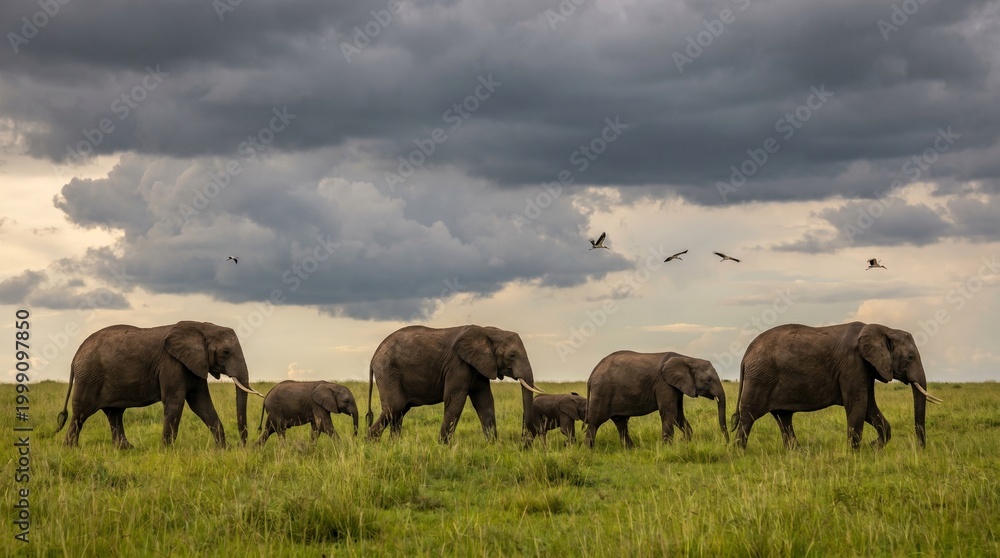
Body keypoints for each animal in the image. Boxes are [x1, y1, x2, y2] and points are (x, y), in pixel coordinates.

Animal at [54, 321, 263, 449]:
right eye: (226, 352)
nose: (242, 445)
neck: (201, 327)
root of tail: (76, 353)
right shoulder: (172, 364)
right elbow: (175, 402)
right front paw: (167, 450)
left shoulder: (194, 364)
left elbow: (201, 403)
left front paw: (222, 449)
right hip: (89, 377)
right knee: (81, 413)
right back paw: (70, 448)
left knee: (114, 413)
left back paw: (126, 449)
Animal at [366, 324, 544, 444]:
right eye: (512, 355)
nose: (524, 441)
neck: (489, 331)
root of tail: (374, 356)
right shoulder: (458, 365)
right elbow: (455, 400)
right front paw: (443, 446)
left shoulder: (480, 366)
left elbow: (485, 401)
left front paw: (492, 445)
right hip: (388, 371)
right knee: (395, 406)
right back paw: (370, 443)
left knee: (400, 410)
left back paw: (394, 445)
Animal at [585, 351, 728, 448]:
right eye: (708, 380)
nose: (727, 443)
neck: (687, 359)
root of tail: (593, 373)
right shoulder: (664, 384)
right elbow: (670, 413)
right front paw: (668, 448)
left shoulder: (676, 386)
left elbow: (678, 415)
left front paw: (684, 443)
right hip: (602, 392)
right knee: (595, 421)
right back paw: (589, 450)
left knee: (621, 422)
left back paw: (631, 449)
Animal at [731, 322, 943, 450]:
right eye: (910, 357)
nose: (920, 449)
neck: (883, 328)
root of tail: (746, 354)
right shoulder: (853, 363)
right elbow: (858, 405)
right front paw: (855, 454)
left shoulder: (866, 368)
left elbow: (869, 408)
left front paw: (872, 447)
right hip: (760, 379)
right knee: (749, 416)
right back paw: (739, 452)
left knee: (783, 418)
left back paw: (797, 453)